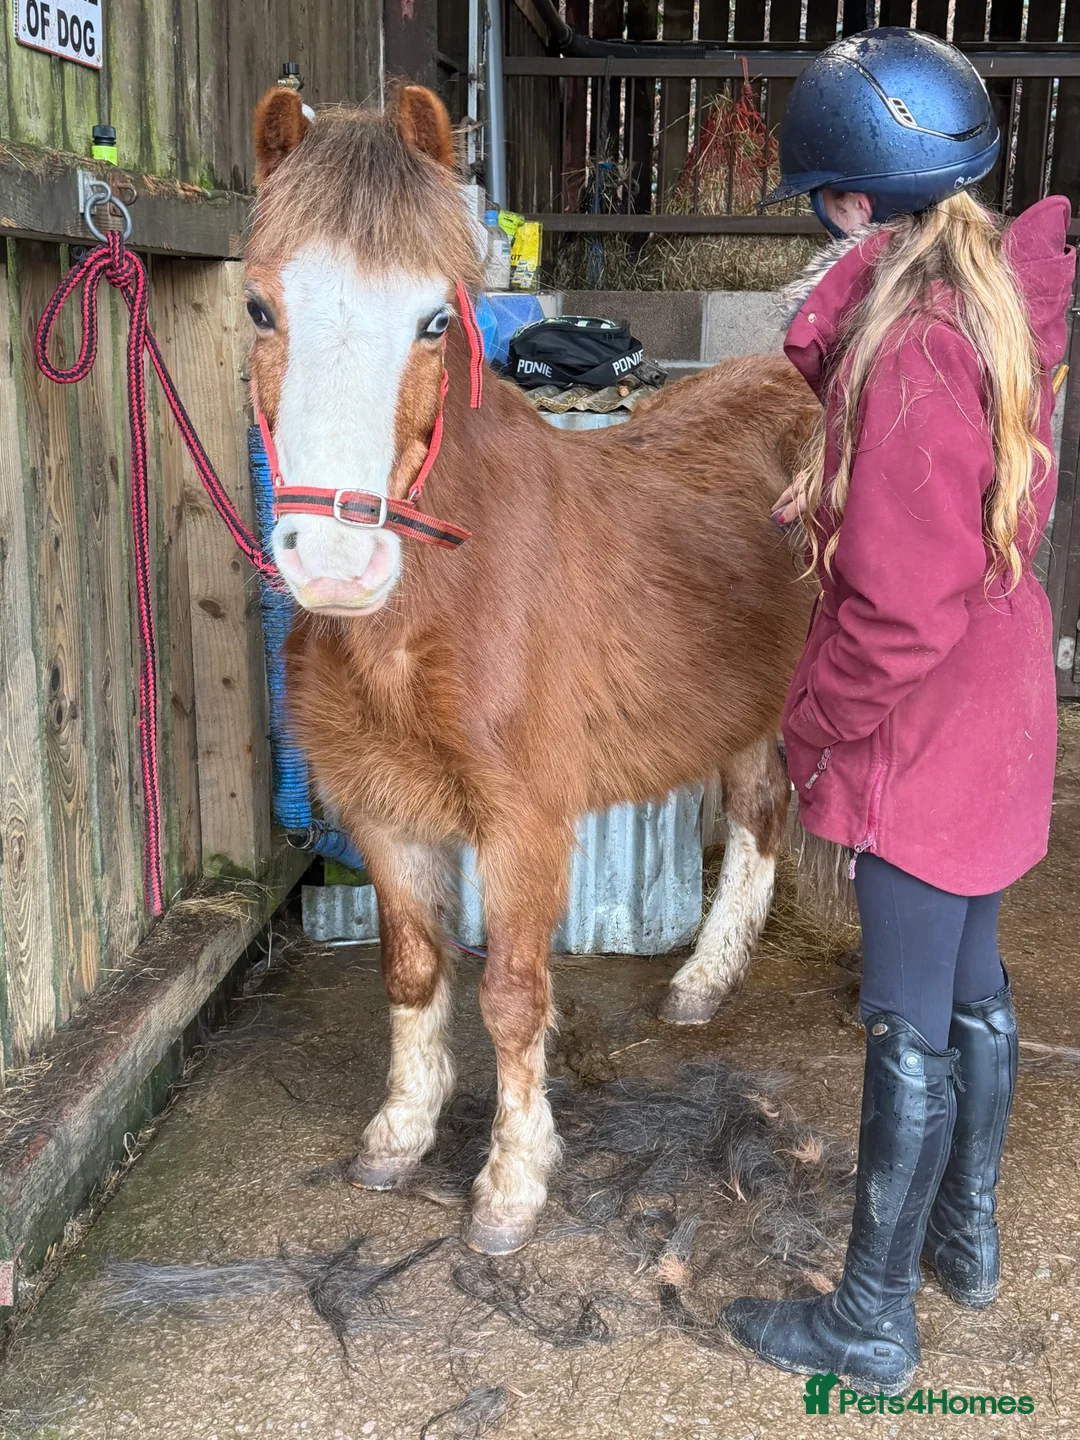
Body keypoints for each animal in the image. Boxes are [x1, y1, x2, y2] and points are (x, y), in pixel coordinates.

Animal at [245, 82, 818, 1255]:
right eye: (258, 310)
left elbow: (511, 994)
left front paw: (513, 1183)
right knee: (759, 812)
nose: (336, 564)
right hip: (744, 703)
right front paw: (399, 1135)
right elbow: (413, 970)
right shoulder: (384, 813)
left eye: (435, 319)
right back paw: (704, 981)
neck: (441, 606)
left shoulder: (523, 825)